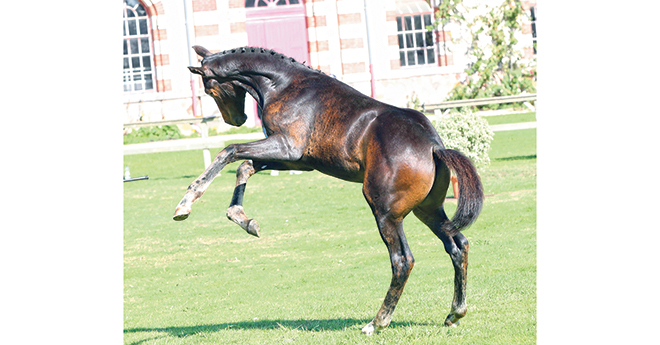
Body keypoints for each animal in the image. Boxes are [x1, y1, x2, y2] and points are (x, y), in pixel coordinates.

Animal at [173, 45, 482, 334]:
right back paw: (455, 313)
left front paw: (186, 203)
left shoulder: (286, 147)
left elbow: (230, 152)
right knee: (458, 245)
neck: (283, 84)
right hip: (427, 210)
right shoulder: (296, 160)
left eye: (209, 89)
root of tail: (433, 145)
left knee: (403, 260)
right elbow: (245, 167)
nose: (235, 120)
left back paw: (377, 322)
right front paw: (244, 220)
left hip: (385, 213)